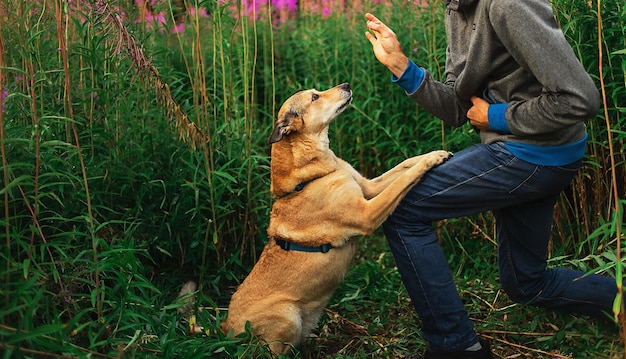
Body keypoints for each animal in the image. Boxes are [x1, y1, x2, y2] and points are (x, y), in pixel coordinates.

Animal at [219, 83, 448, 356]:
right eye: (315, 97)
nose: (346, 85)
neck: (310, 176)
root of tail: (226, 329)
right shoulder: (367, 213)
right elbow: (404, 179)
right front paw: (431, 160)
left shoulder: (368, 187)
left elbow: (404, 166)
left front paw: (434, 152)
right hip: (287, 316)